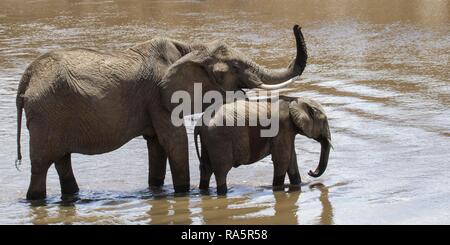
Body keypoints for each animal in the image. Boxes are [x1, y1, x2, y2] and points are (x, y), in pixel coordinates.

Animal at [15, 24, 308, 200]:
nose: (296, 26)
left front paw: (157, 190)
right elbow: (174, 141)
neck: (189, 49)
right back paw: (36, 199)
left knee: (62, 161)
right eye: (234, 67)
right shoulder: (159, 96)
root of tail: (27, 77)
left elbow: (157, 146)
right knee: (40, 165)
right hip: (46, 114)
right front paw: (184, 193)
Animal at [193, 96, 330, 195]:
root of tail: (199, 125)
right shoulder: (283, 127)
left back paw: (204, 191)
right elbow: (282, 159)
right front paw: (278, 189)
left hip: (208, 141)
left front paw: (297, 185)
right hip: (219, 140)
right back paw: (223, 193)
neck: (294, 102)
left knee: (206, 168)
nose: (310, 171)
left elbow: (291, 159)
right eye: (324, 122)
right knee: (221, 171)